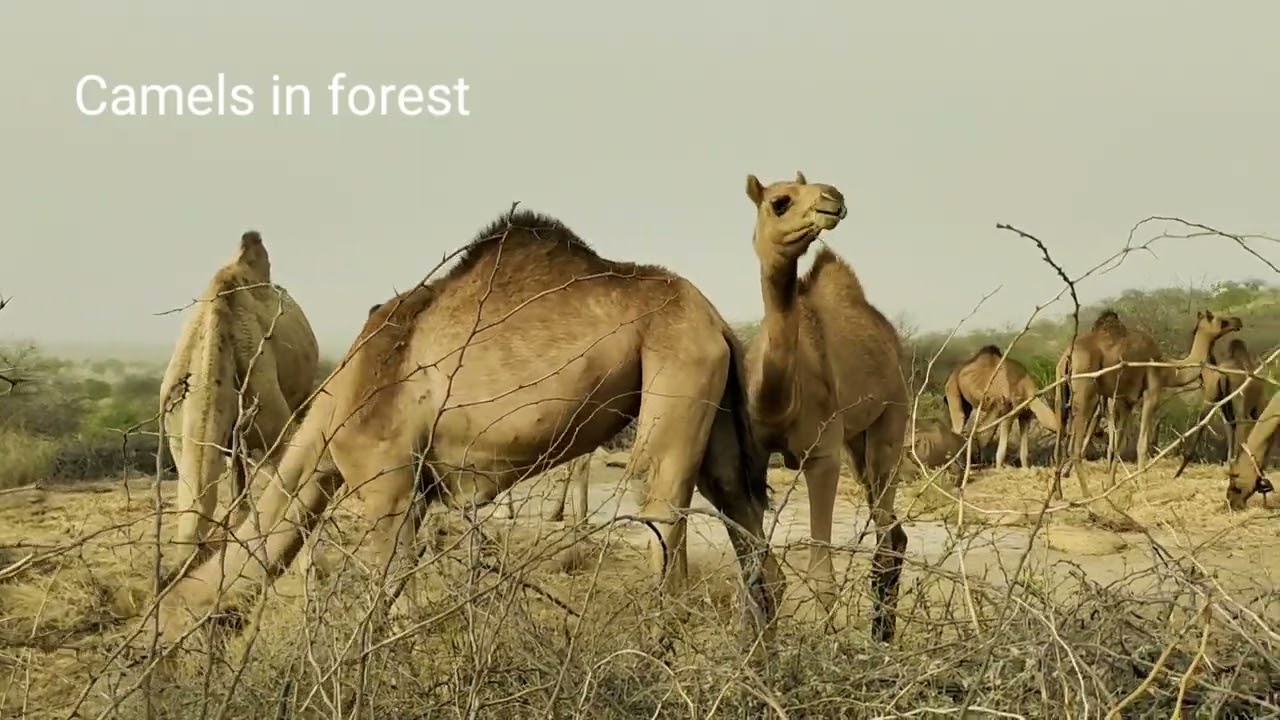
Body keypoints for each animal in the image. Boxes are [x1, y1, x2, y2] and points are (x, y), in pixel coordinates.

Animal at [742, 172, 908, 643]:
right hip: (856, 442)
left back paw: (880, 640)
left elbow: (822, 575)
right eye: (779, 202)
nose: (832, 199)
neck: (779, 397)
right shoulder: (753, 458)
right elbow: (765, 574)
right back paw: (882, 633)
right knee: (895, 533)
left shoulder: (821, 456)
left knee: (885, 536)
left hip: (891, 417)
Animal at [1055, 309, 1240, 491]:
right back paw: (1086, 493)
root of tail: (1067, 358)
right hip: (1086, 390)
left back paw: (1058, 493)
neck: (1169, 369)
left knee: (1059, 440)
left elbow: (1117, 445)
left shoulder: (1126, 400)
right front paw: (1141, 485)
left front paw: (1110, 485)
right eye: (1219, 319)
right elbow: (1142, 443)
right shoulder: (1152, 392)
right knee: (1074, 448)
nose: (1237, 321)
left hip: (1061, 390)